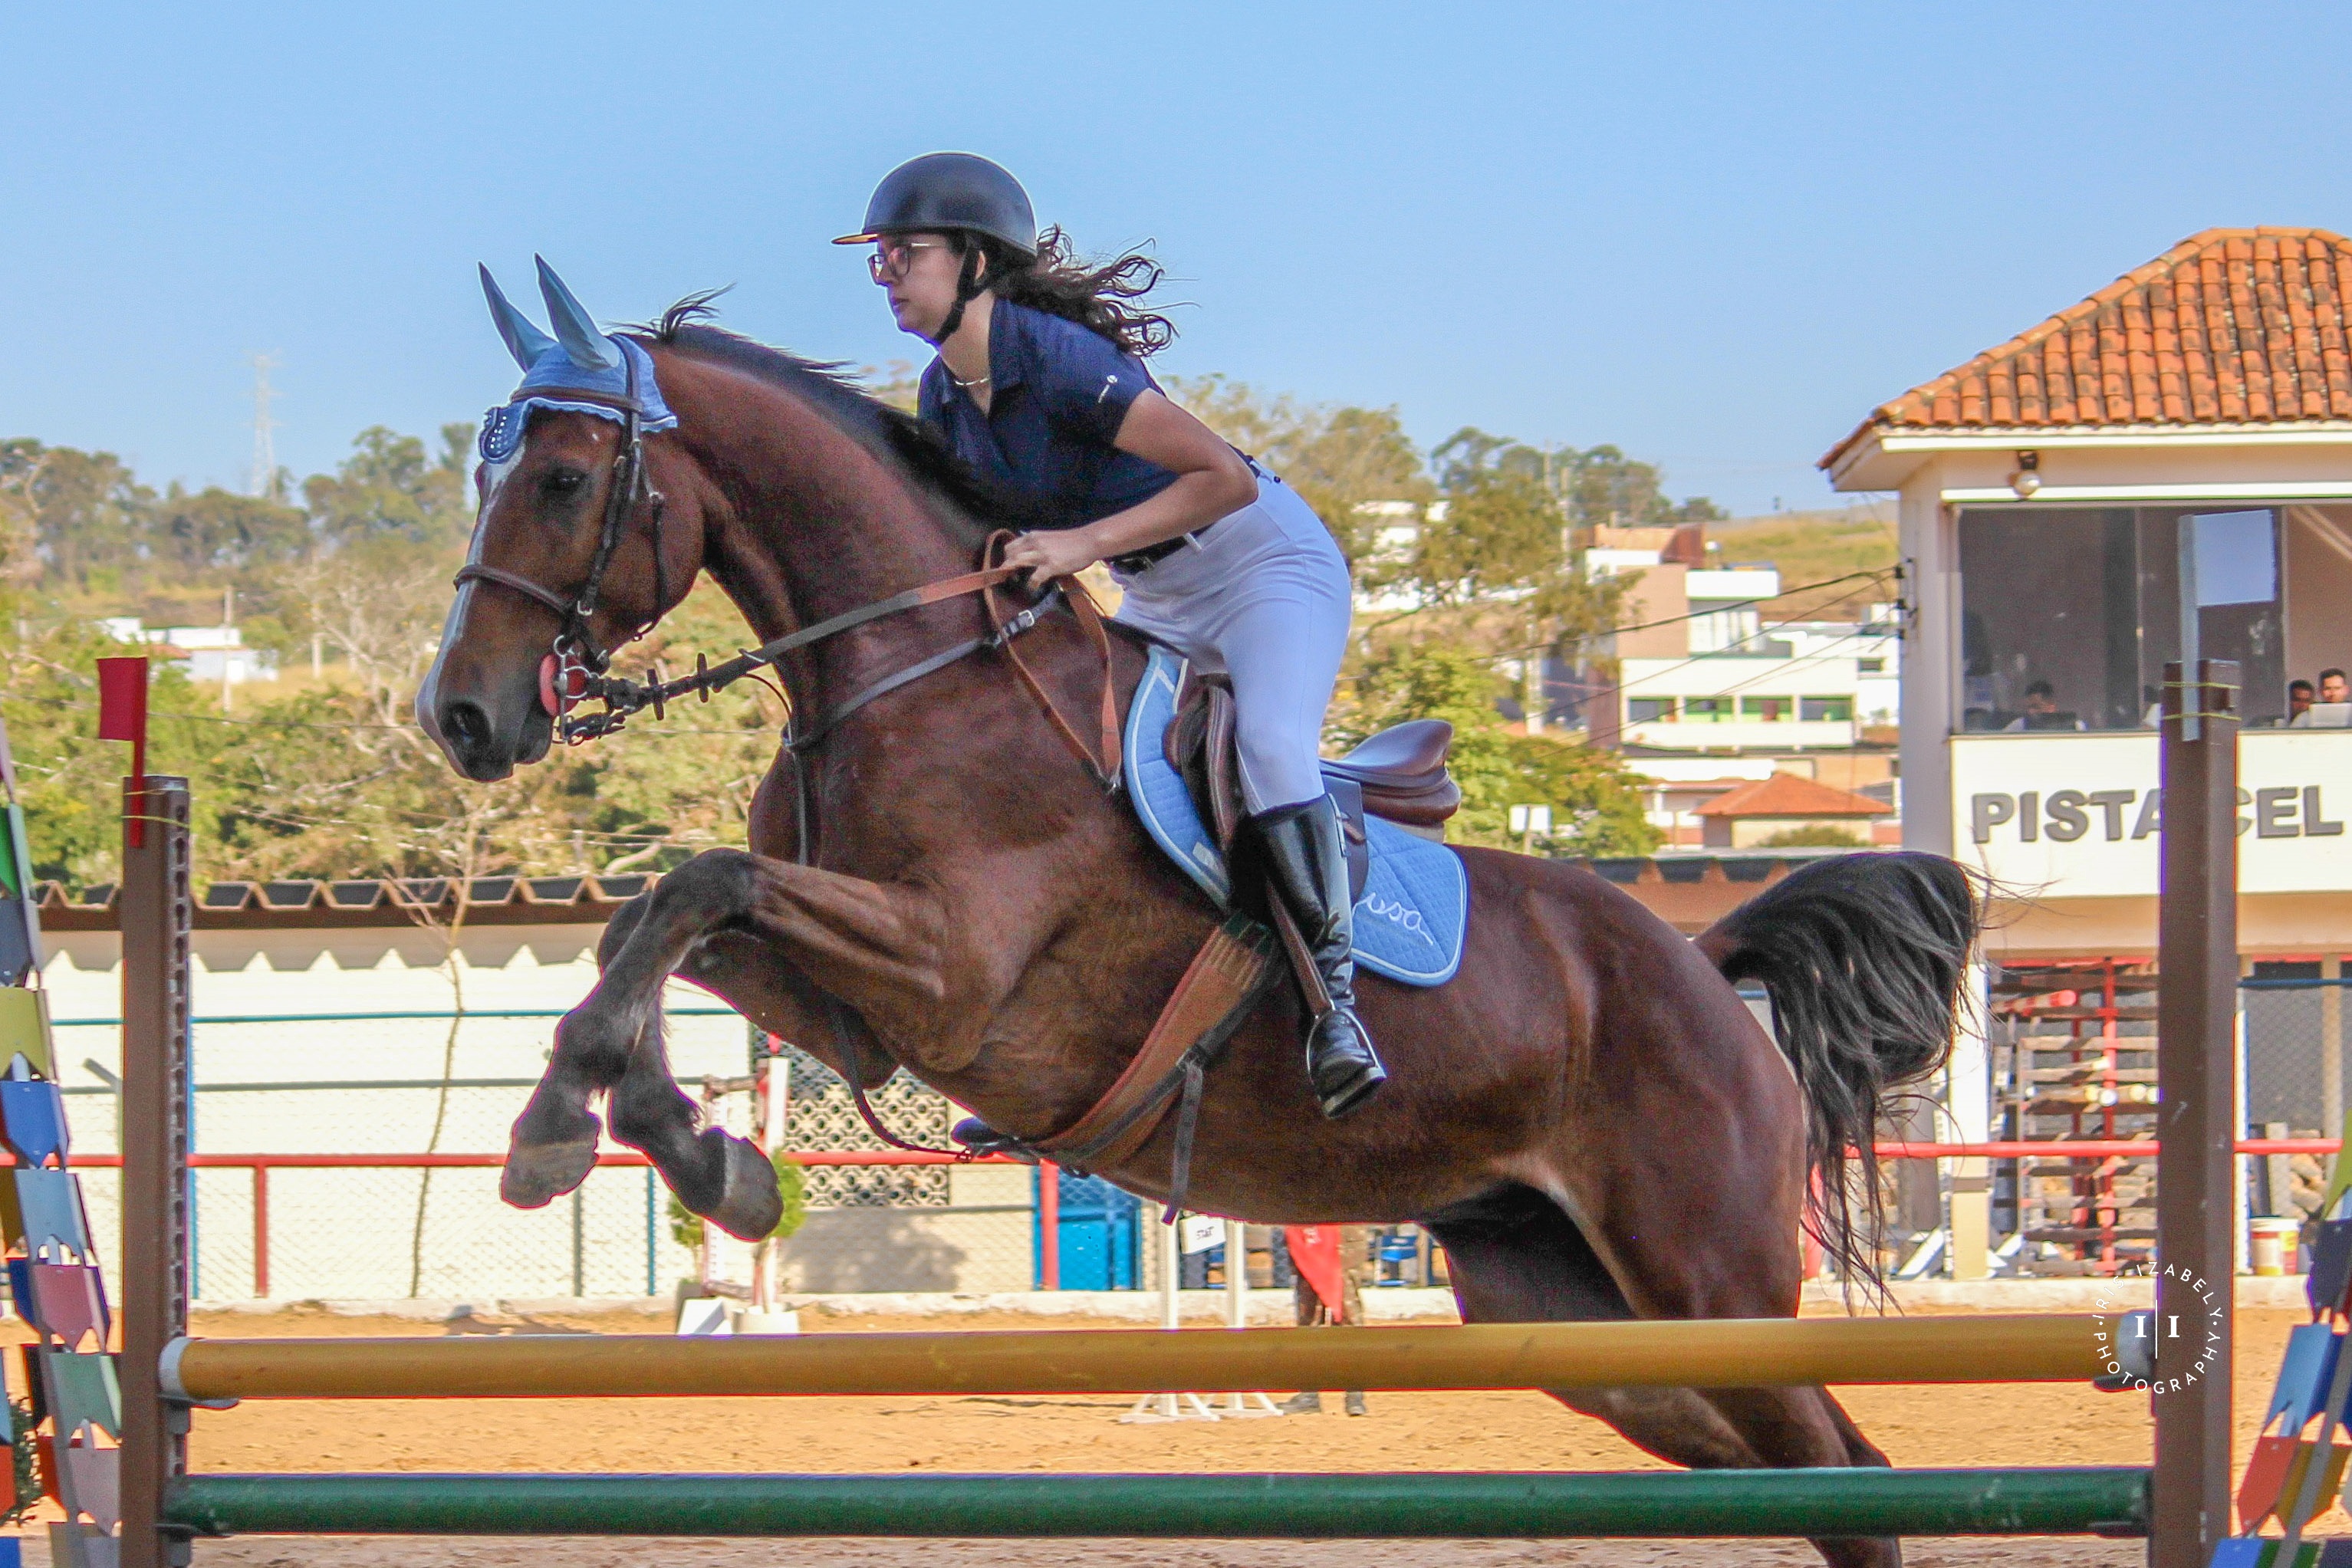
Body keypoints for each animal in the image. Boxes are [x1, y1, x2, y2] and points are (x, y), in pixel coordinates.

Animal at [419, 292, 1979, 1568]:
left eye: (562, 478)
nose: (464, 717)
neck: (909, 672)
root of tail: (1703, 974)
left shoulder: (946, 970)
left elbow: (692, 885)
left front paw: (564, 1134)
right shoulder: (859, 1009)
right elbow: (654, 921)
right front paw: (691, 1156)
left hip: (1704, 1271)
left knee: (1852, 1481)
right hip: (1588, 1320)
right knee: (1822, 1476)